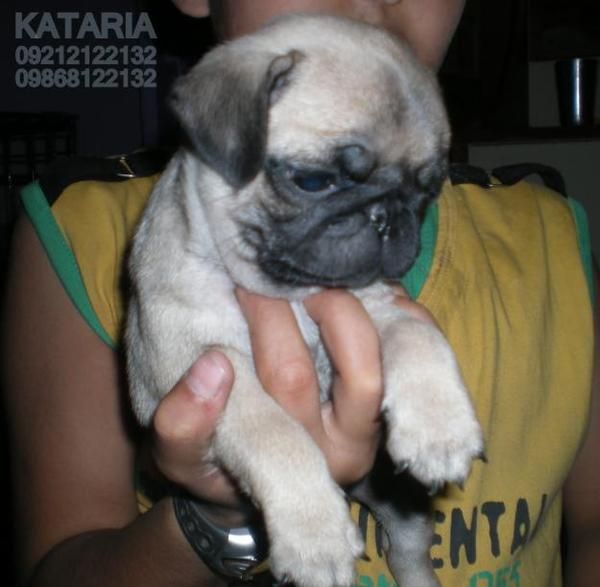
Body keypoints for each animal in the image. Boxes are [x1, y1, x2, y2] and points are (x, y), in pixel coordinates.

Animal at [125, 13, 482, 587]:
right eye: (314, 181)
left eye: (425, 193)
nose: (387, 216)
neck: (289, 293)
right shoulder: (210, 368)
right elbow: (275, 433)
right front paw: (315, 535)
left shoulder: (377, 305)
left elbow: (417, 335)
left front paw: (439, 423)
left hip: (402, 510)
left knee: (408, 554)